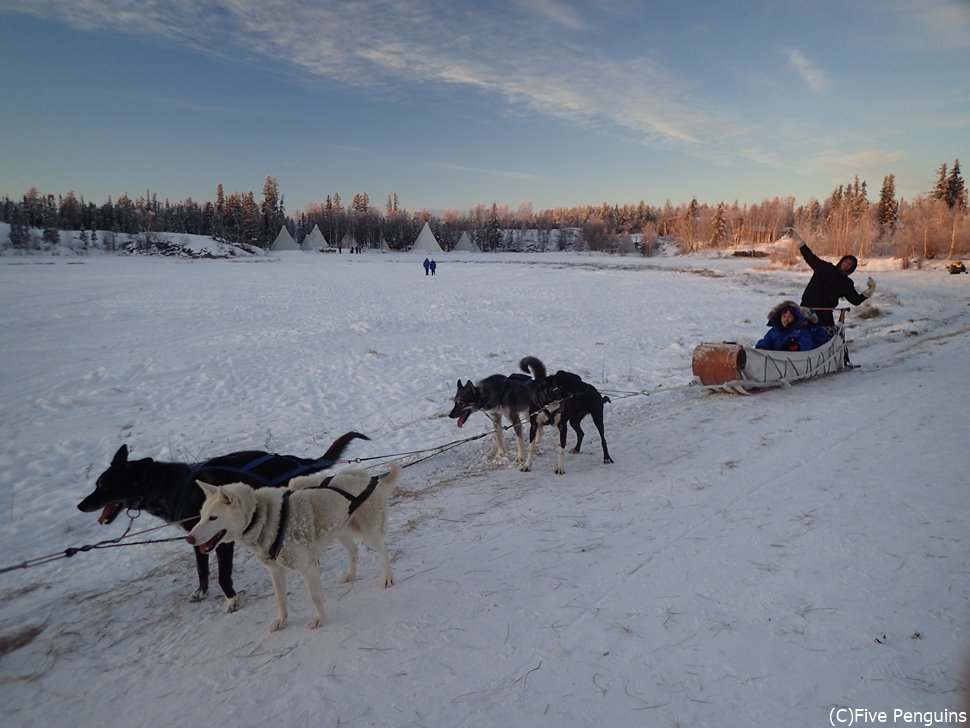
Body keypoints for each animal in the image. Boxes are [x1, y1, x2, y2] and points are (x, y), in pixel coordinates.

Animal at [76, 430, 366, 612]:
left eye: (103, 487)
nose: (80, 505)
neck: (171, 487)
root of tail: (293, 460)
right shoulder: (198, 536)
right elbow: (202, 570)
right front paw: (200, 592)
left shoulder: (222, 541)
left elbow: (223, 575)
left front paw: (231, 601)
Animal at [187, 464, 398, 636]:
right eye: (201, 515)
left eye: (213, 518)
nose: (189, 538)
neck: (262, 516)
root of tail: (370, 478)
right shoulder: (275, 570)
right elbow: (280, 599)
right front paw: (282, 621)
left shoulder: (307, 567)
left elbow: (314, 596)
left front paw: (319, 618)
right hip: (341, 532)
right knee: (354, 551)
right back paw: (351, 575)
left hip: (370, 534)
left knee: (384, 552)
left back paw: (388, 577)